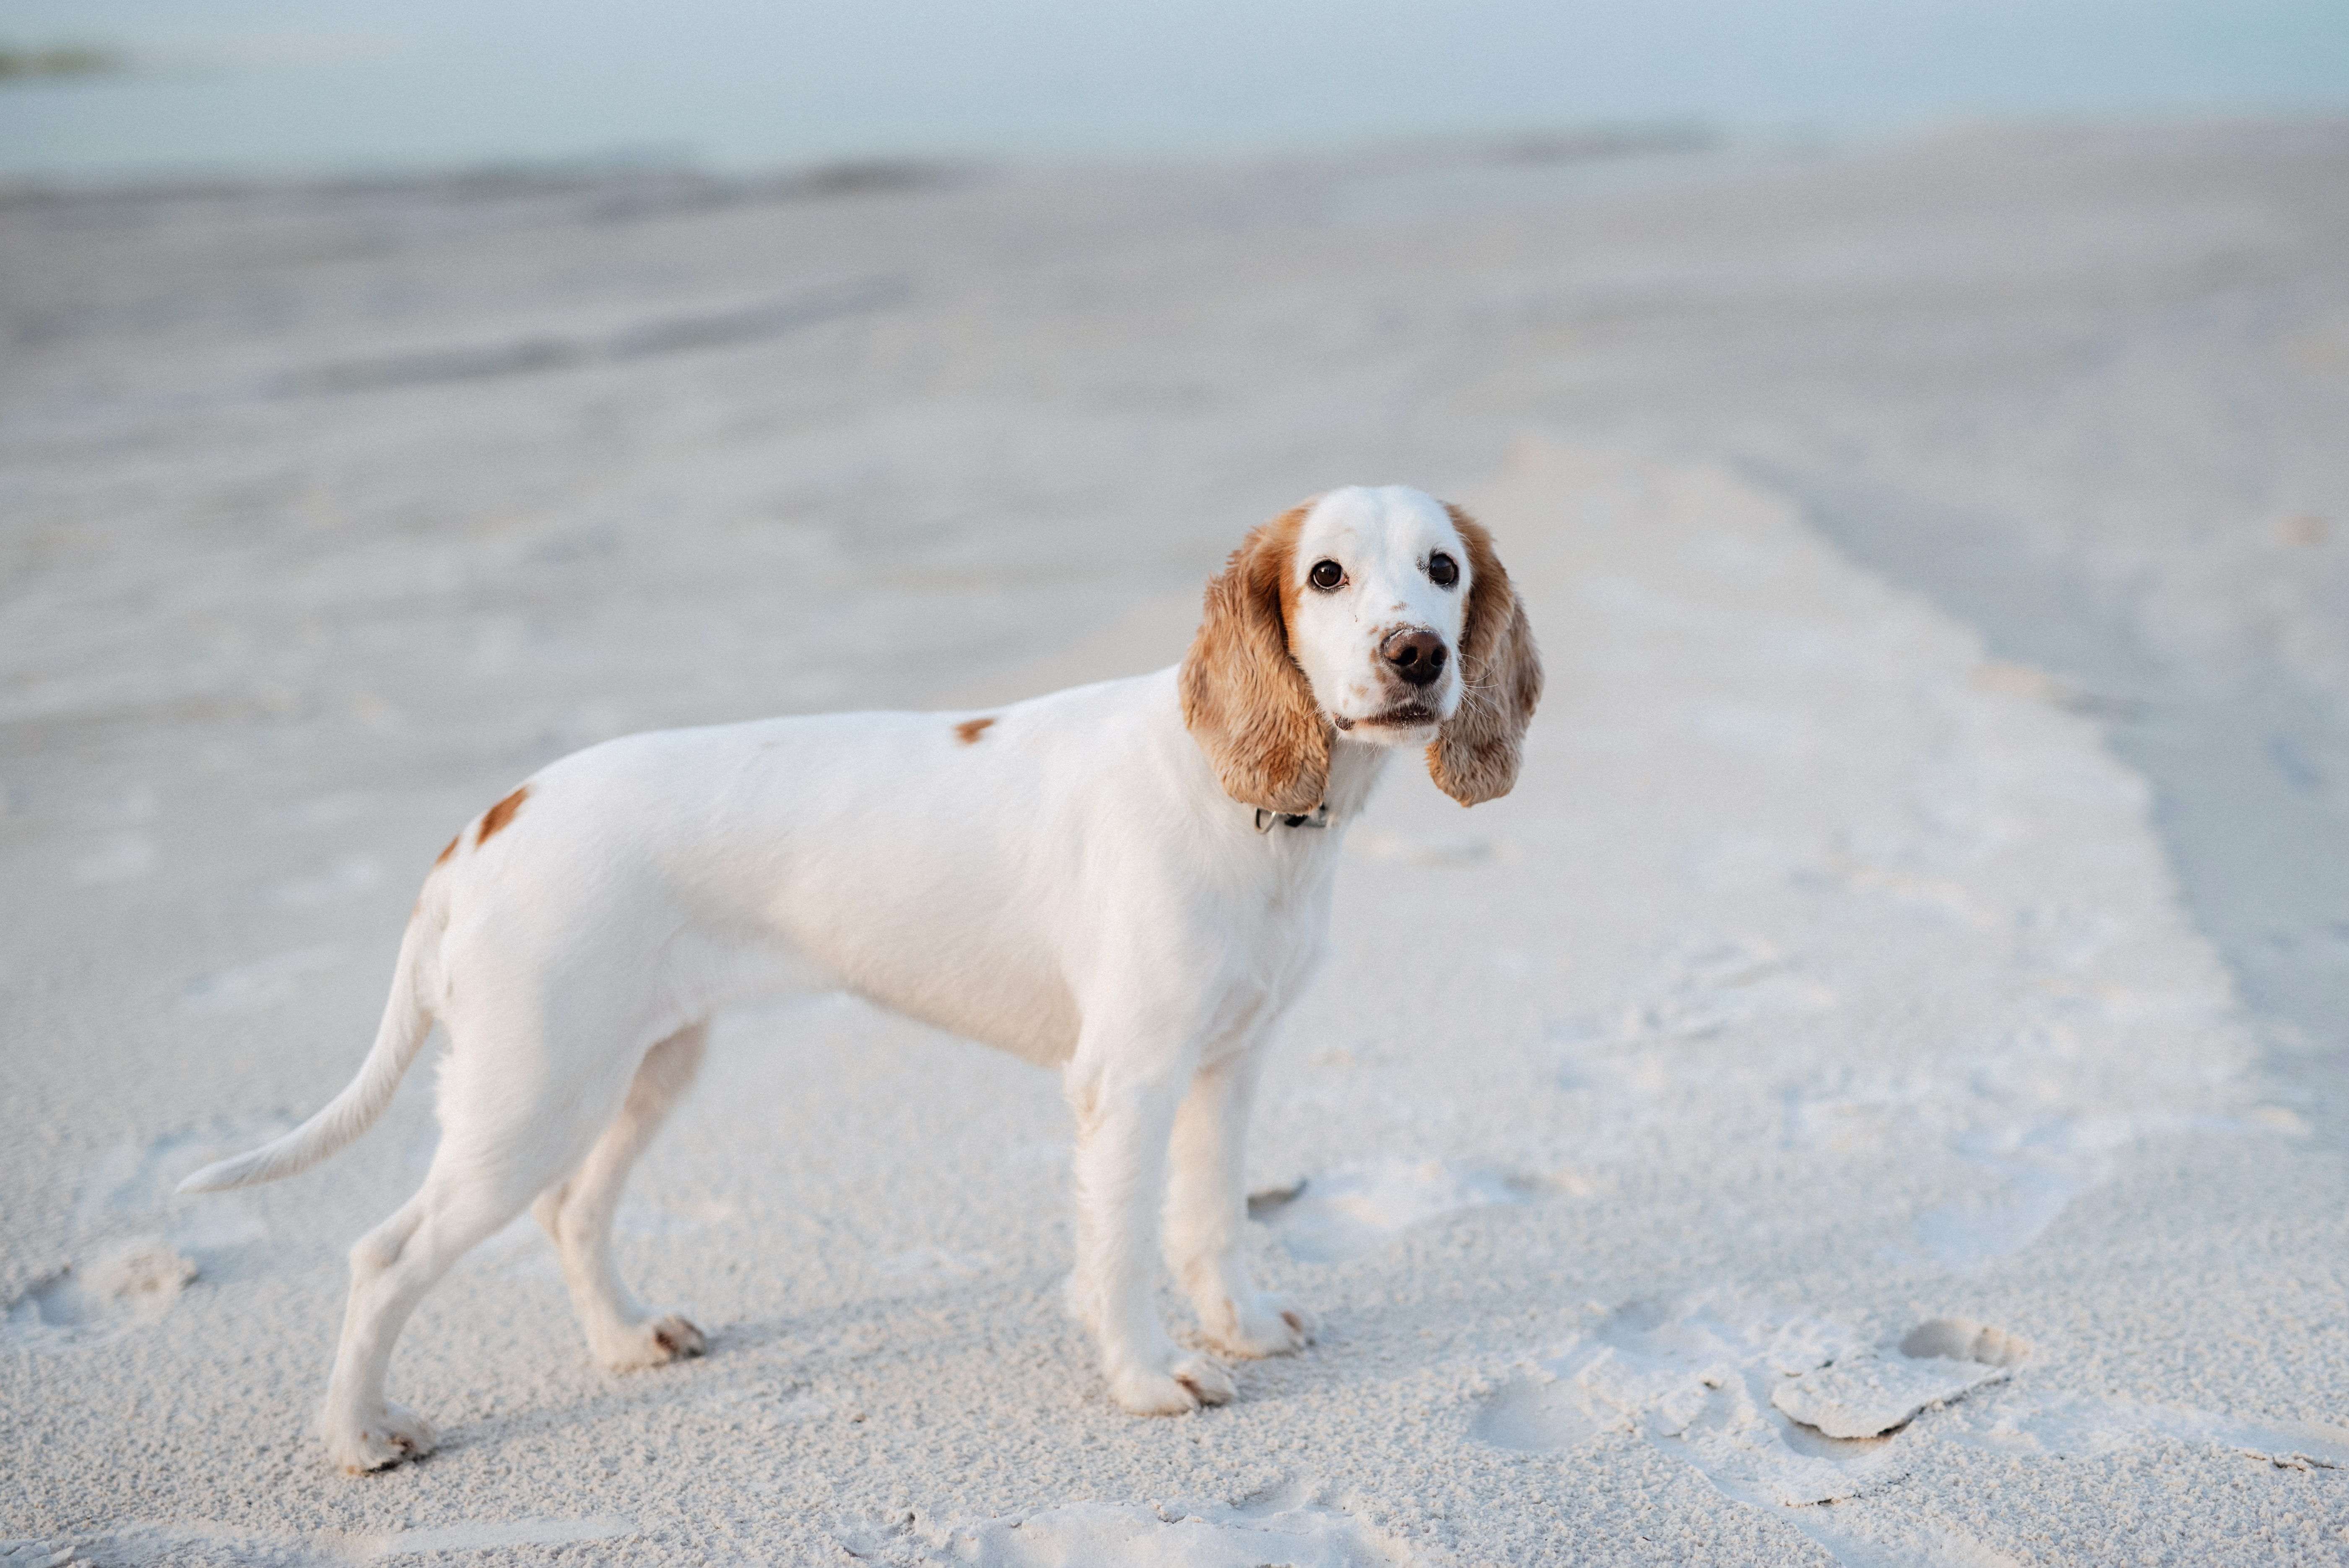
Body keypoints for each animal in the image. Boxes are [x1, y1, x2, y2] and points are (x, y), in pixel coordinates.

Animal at [183, 483, 1541, 1474]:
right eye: (1325, 576)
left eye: (1443, 570)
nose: (1417, 656)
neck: (1248, 802)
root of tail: (486, 824)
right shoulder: (1129, 1079)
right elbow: (1120, 1249)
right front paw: (1151, 1378)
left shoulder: (1229, 1063)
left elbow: (1208, 1222)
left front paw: (1244, 1330)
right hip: (533, 1091)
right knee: (385, 1253)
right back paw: (358, 1435)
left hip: (641, 1067)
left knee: (571, 1210)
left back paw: (625, 1340)